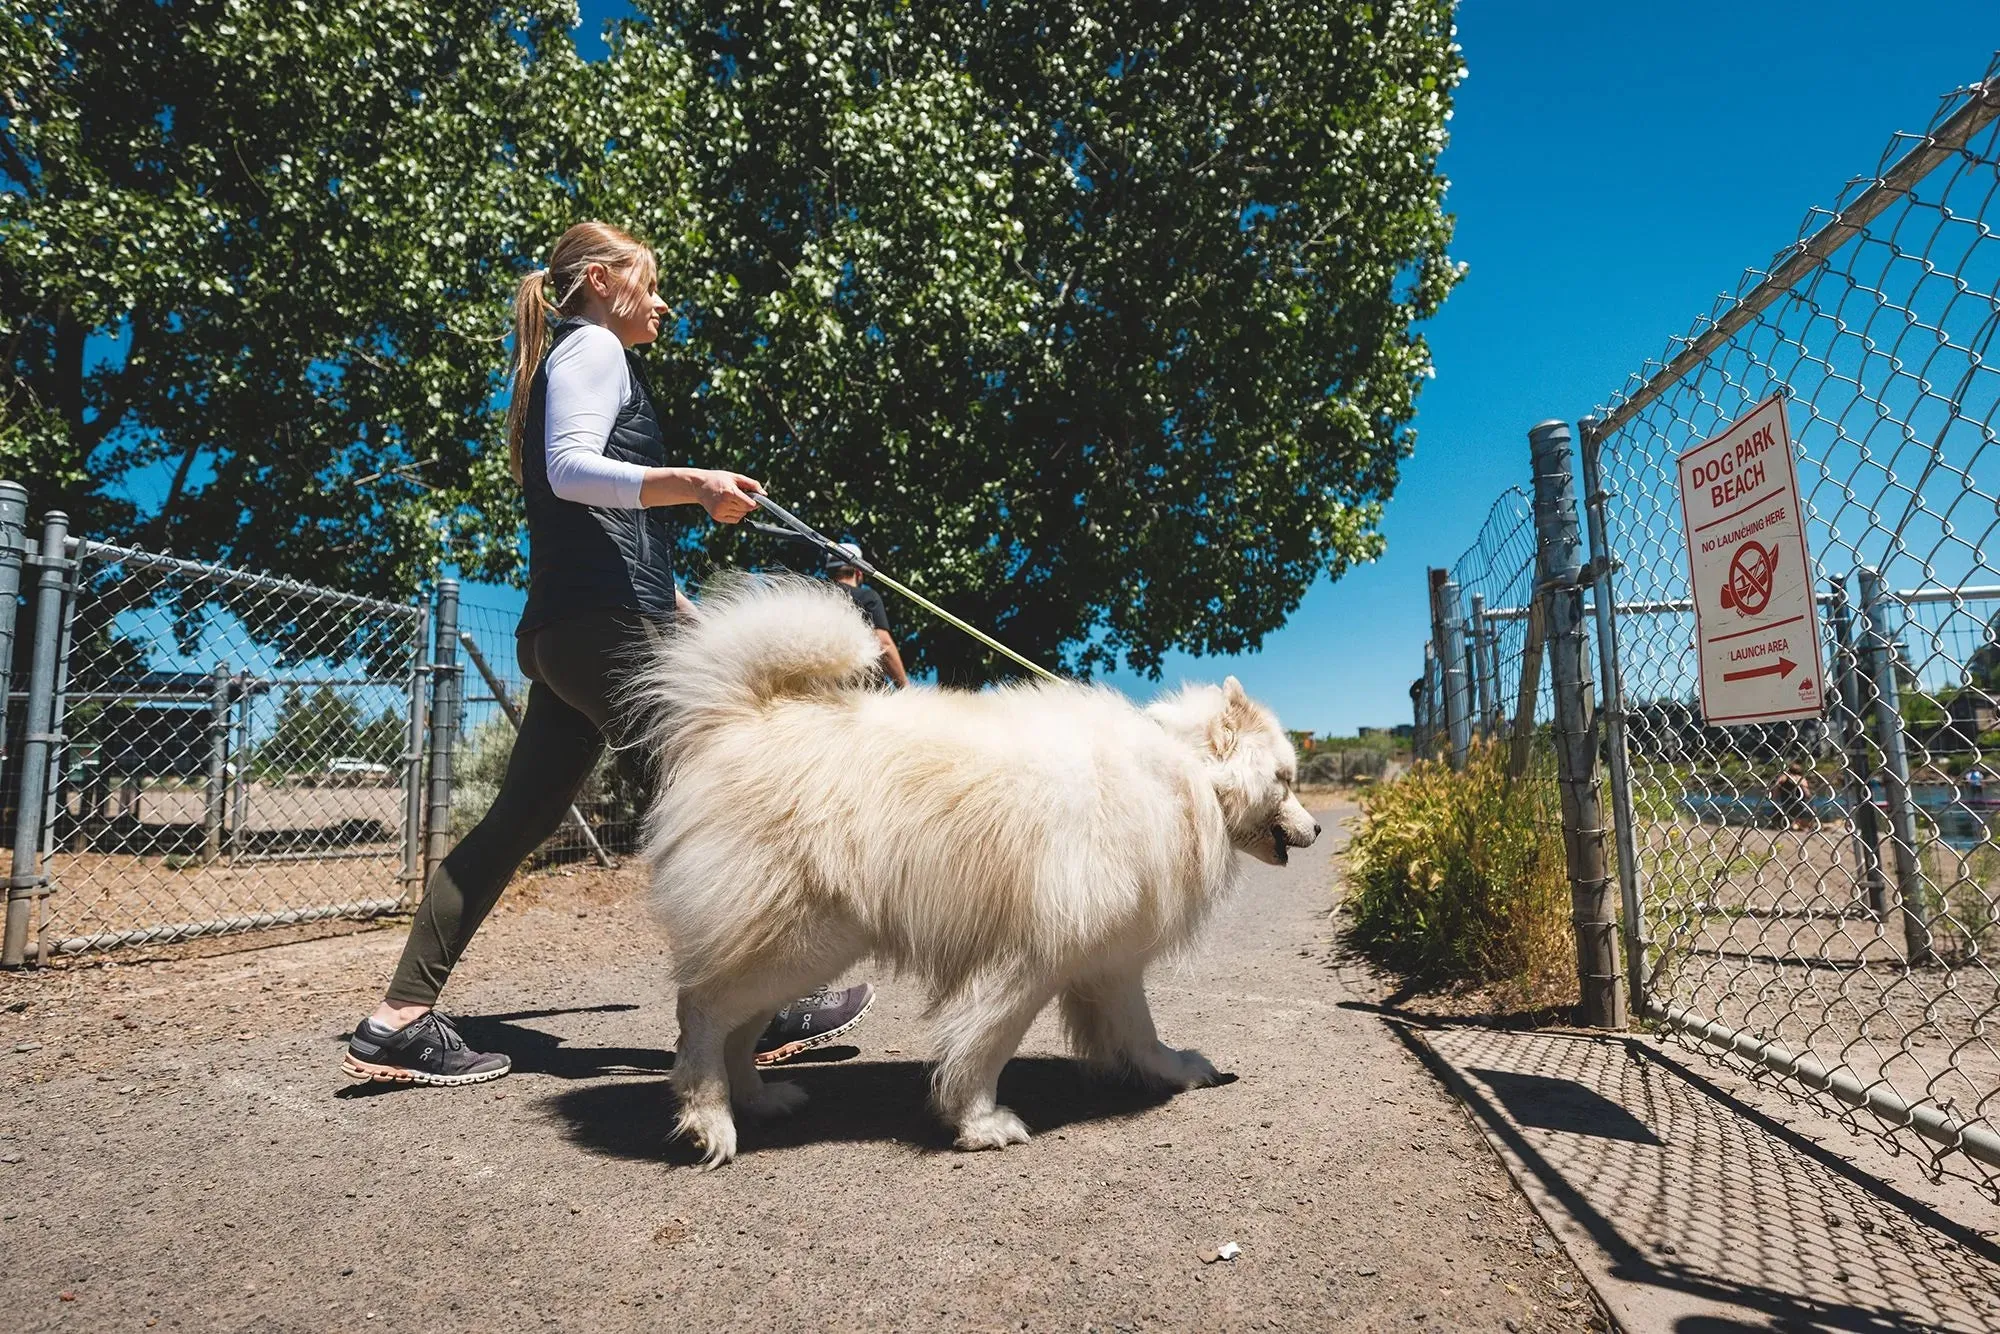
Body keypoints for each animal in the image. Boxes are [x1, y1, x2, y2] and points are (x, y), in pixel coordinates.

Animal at [640, 576, 1320, 1168]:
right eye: (1285, 780)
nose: (1316, 831)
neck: (1182, 772)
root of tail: (743, 716)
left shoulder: (1108, 959)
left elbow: (1140, 1031)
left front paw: (1175, 1071)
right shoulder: (1031, 961)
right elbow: (985, 1043)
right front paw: (977, 1122)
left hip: (801, 951)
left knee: (737, 1030)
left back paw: (759, 1101)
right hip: (804, 943)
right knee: (702, 1014)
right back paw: (710, 1122)